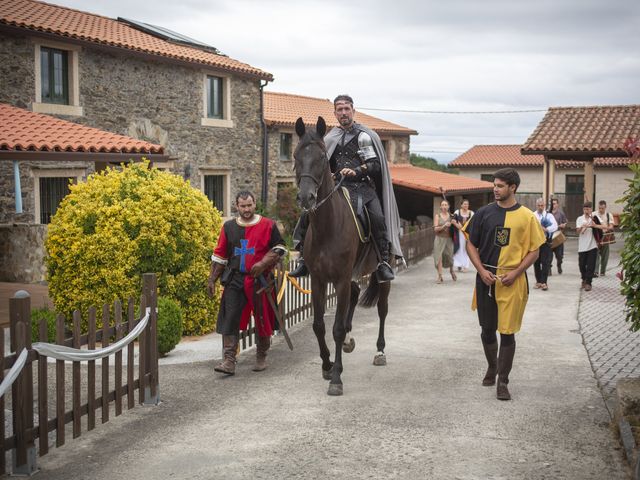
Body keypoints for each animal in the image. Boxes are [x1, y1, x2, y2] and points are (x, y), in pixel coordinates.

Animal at [294, 117, 390, 398]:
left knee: (382, 309)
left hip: (380, 275)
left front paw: (336, 377)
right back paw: (349, 340)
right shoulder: (319, 280)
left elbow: (335, 328)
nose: (306, 198)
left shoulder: (340, 279)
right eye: (296, 155)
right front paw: (327, 365)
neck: (328, 226)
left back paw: (380, 351)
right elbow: (319, 325)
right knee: (356, 294)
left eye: (321, 158)